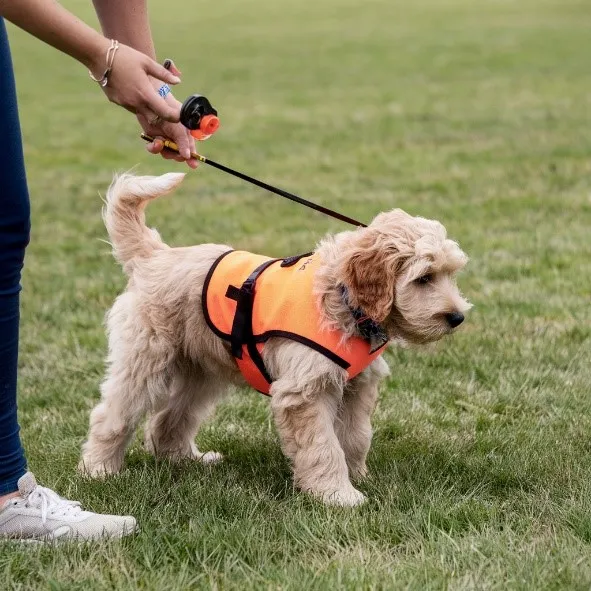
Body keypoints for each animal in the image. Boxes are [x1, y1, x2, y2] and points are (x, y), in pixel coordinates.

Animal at [80, 173, 472, 506]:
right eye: (424, 278)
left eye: (450, 274)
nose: (458, 317)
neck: (340, 297)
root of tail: (155, 255)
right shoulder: (305, 392)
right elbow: (323, 445)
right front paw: (338, 495)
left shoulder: (357, 385)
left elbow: (355, 436)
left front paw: (359, 477)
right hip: (144, 359)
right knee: (112, 414)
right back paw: (99, 470)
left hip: (202, 370)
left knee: (170, 418)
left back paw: (186, 460)